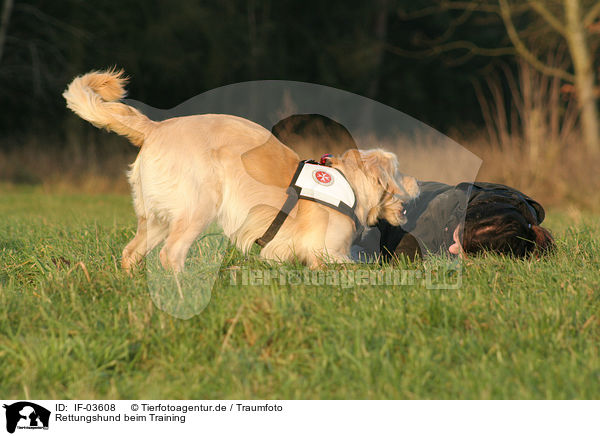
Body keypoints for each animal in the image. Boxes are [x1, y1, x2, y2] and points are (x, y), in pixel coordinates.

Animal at [61, 70, 418, 270]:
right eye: (400, 174)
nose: (417, 184)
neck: (351, 187)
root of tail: (156, 127)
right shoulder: (328, 252)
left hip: (159, 217)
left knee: (131, 252)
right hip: (198, 208)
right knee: (170, 255)